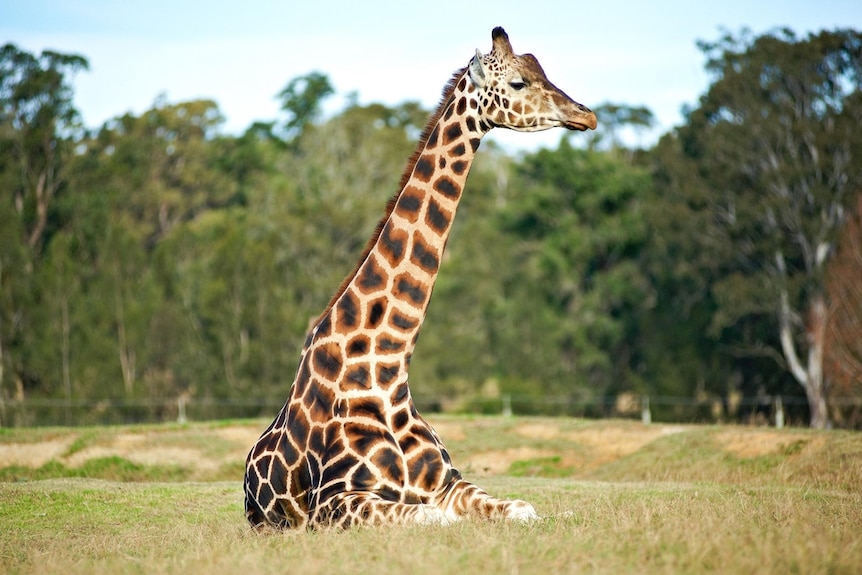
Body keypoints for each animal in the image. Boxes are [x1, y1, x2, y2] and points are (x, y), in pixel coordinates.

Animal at [241, 27, 592, 532]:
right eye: (519, 82)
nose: (587, 114)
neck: (387, 372)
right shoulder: (335, 501)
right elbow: (438, 519)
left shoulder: (448, 483)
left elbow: (524, 508)